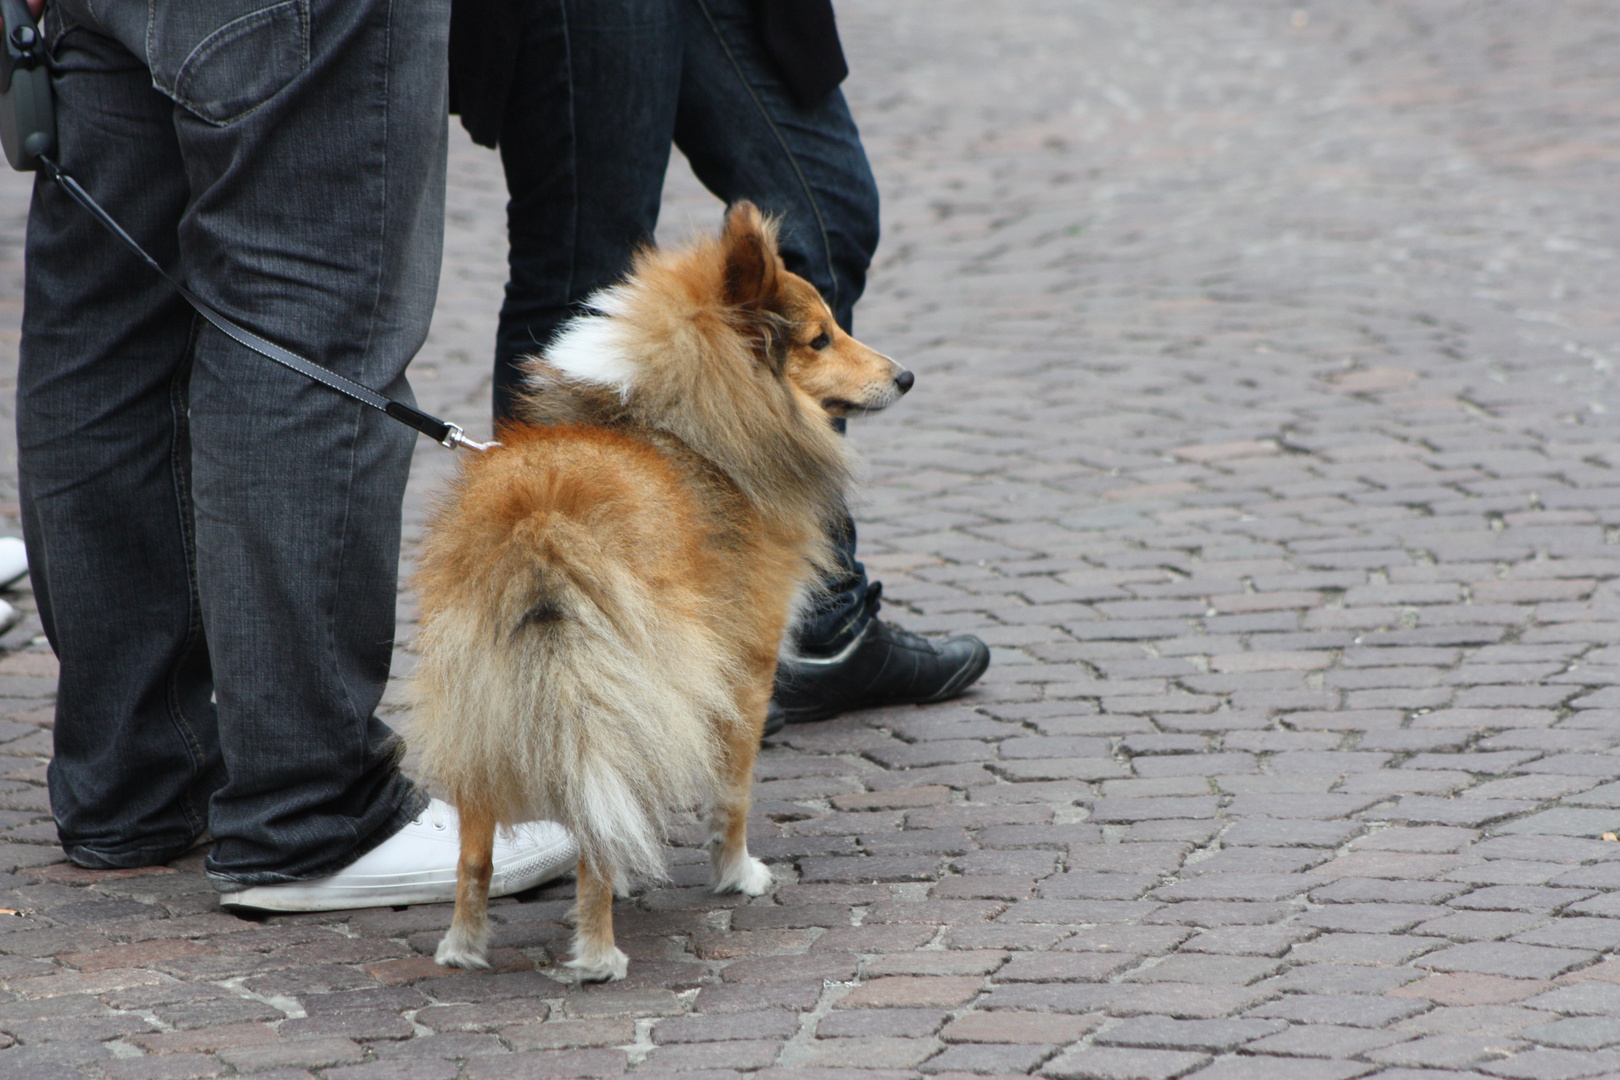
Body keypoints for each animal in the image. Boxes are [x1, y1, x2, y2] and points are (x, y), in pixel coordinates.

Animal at [408, 200, 913, 977]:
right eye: (820, 338)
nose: (907, 376)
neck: (678, 422)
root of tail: (541, 521)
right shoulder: (744, 666)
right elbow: (731, 793)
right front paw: (738, 875)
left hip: (481, 692)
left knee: (476, 847)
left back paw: (463, 948)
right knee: (592, 836)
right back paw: (599, 954)